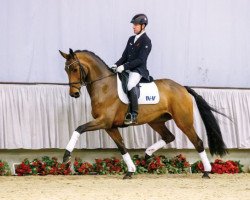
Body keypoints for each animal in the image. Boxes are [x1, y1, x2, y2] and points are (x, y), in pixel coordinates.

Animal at [59, 48, 228, 180]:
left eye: (74, 69)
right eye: (66, 70)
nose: (74, 94)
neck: (104, 86)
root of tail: (182, 87)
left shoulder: (104, 121)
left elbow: (79, 128)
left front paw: (66, 156)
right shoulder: (110, 126)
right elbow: (122, 147)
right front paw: (130, 171)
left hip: (183, 121)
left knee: (197, 142)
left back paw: (206, 171)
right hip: (156, 121)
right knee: (169, 136)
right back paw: (147, 153)